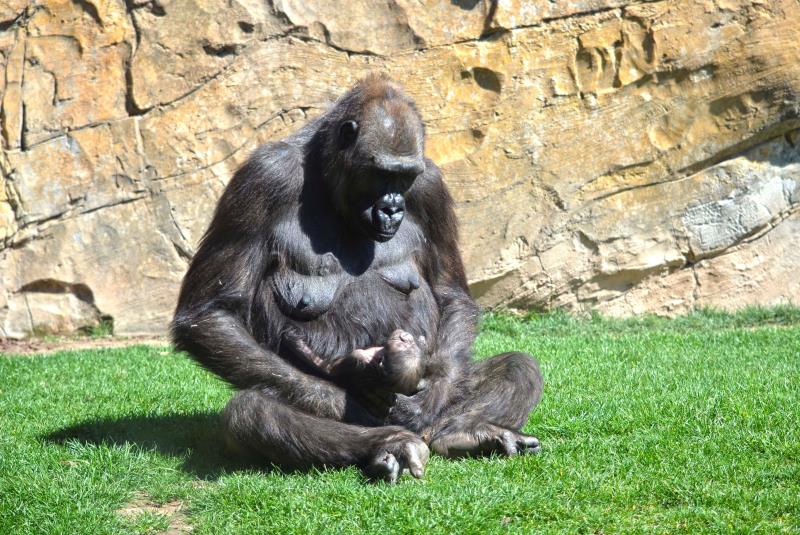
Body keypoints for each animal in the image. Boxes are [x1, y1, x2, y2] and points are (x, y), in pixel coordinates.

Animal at [284, 328, 428, 396]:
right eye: (407, 343)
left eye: (401, 343)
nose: (405, 336)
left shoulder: (357, 356)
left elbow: (329, 369)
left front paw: (294, 340)